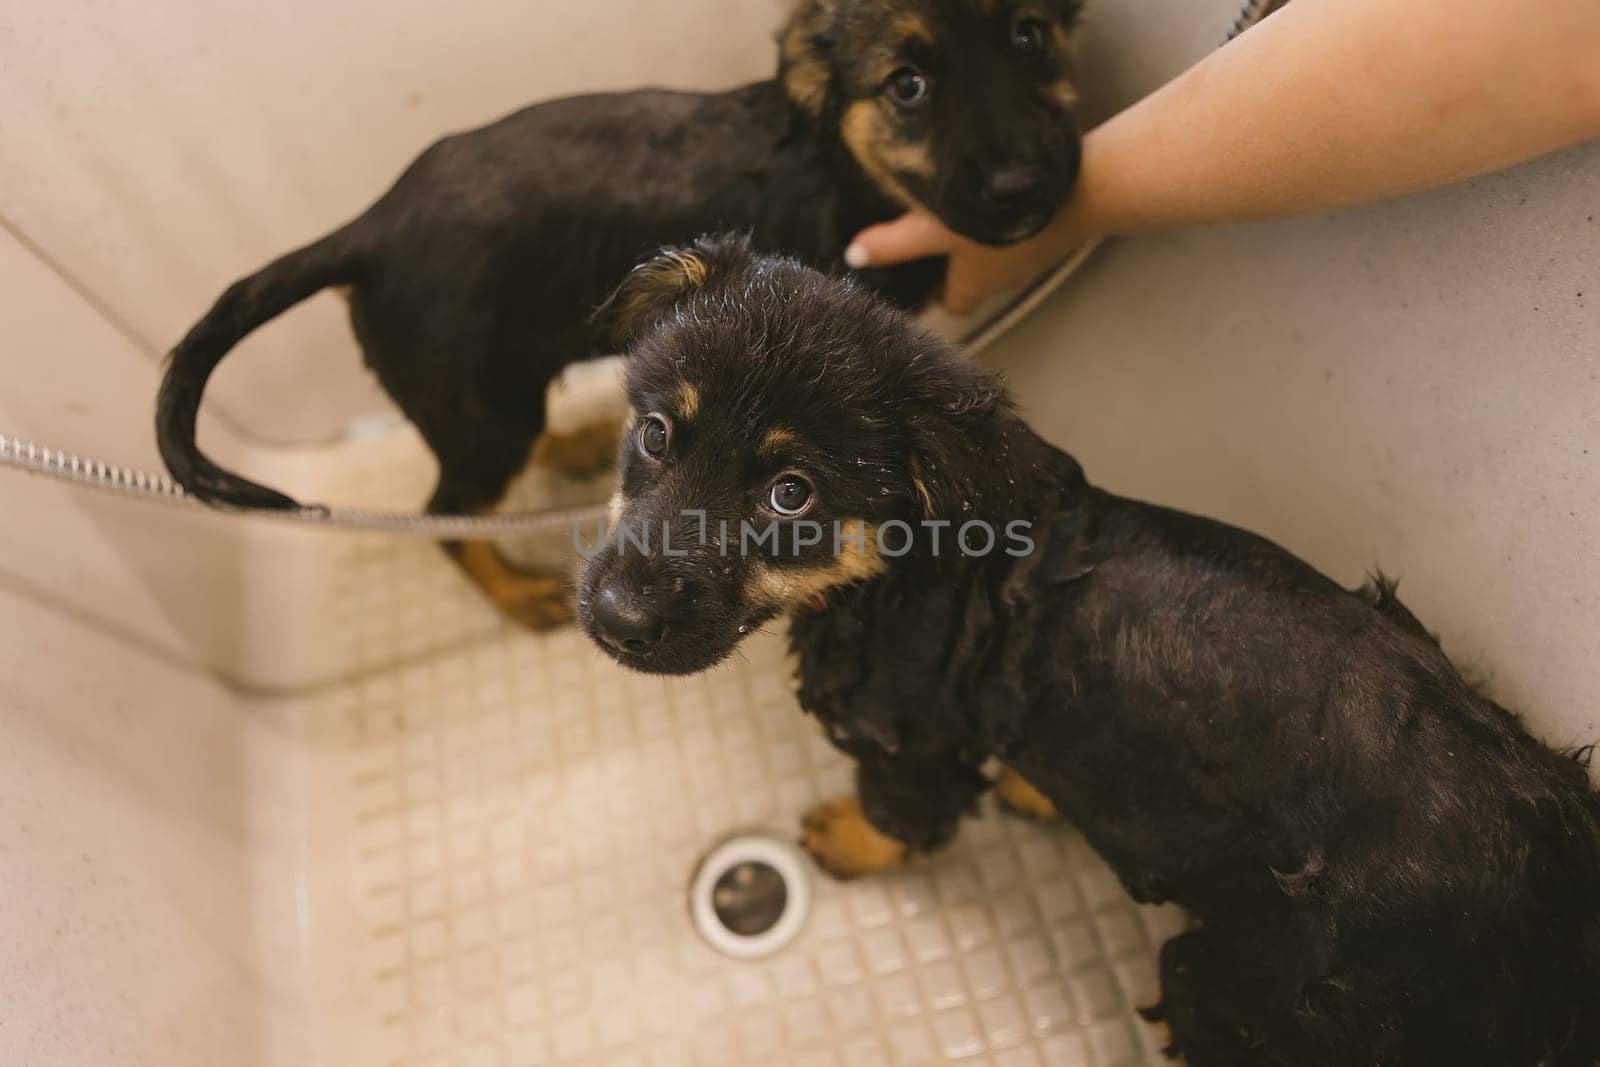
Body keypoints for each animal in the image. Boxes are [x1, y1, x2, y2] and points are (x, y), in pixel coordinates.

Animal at [152, 0, 1088, 627]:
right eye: (908, 85)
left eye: (1028, 35)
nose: (1026, 190)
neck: (838, 164)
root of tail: (370, 229)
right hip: (481, 411)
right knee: (447, 519)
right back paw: (517, 591)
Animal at [582, 235, 1600, 1067]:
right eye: (656, 432)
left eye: (790, 493)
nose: (614, 618)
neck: (903, 561)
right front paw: (1037, 789)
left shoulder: (906, 734)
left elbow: (900, 810)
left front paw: (852, 838)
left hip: (1245, 987)